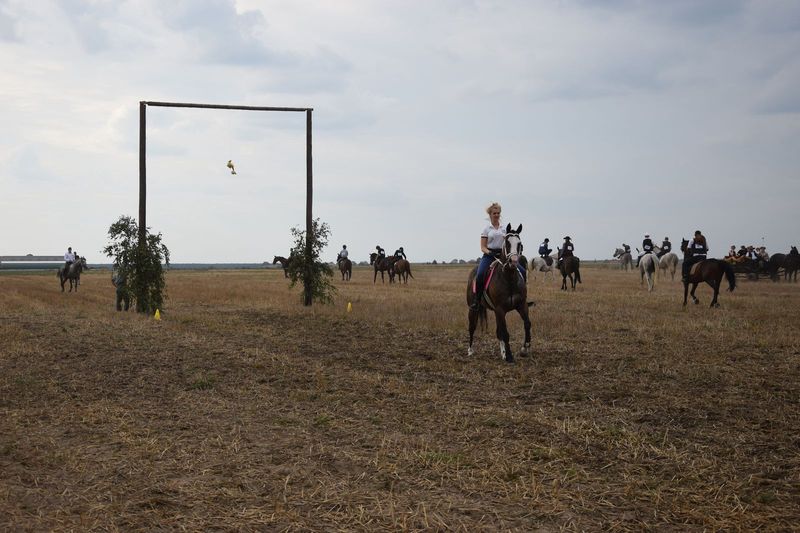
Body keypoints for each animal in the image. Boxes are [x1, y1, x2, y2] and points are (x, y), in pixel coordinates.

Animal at [468, 222, 532, 364]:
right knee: (472, 327)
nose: (513, 261)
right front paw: (510, 356)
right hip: (473, 309)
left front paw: (525, 349)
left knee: (499, 332)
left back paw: (502, 353)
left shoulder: (521, 305)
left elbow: (527, 324)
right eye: (507, 243)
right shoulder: (500, 309)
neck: (509, 278)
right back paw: (470, 350)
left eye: (519, 244)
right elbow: (505, 333)